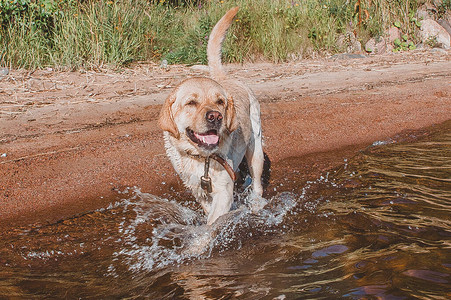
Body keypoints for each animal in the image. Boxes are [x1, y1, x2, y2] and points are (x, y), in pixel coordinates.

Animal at [159, 7, 264, 225]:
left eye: (220, 102)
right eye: (191, 102)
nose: (215, 117)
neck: (202, 158)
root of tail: (223, 77)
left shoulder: (223, 191)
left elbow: (212, 224)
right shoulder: (197, 188)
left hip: (256, 150)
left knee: (258, 184)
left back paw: (257, 204)